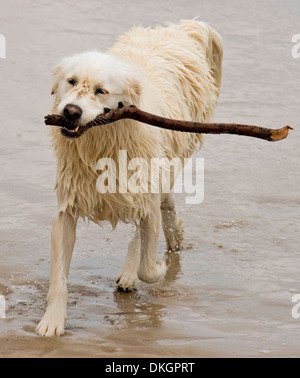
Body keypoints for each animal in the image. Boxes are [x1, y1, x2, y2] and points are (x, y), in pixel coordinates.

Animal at [37, 19, 223, 336]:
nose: (71, 112)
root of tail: (181, 29)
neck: (102, 140)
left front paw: (158, 268)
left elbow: (147, 267)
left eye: (100, 91)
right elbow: (58, 276)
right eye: (71, 81)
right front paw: (52, 321)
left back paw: (133, 269)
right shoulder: (66, 211)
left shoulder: (144, 193)